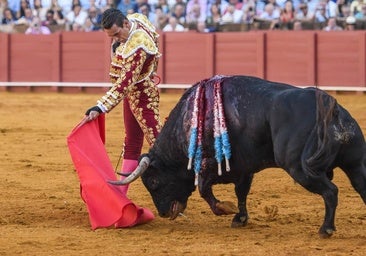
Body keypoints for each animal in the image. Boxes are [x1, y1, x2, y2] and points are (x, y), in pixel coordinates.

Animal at [108, 75, 366, 237]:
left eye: (153, 181)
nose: (162, 213)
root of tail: (330, 105)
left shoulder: (210, 165)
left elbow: (205, 189)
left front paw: (225, 209)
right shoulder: (244, 167)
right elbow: (241, 192)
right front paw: (240, 217)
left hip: (299, 168)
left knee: (331, 192)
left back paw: (325, 229)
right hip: (355, 164)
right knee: (360, 187)